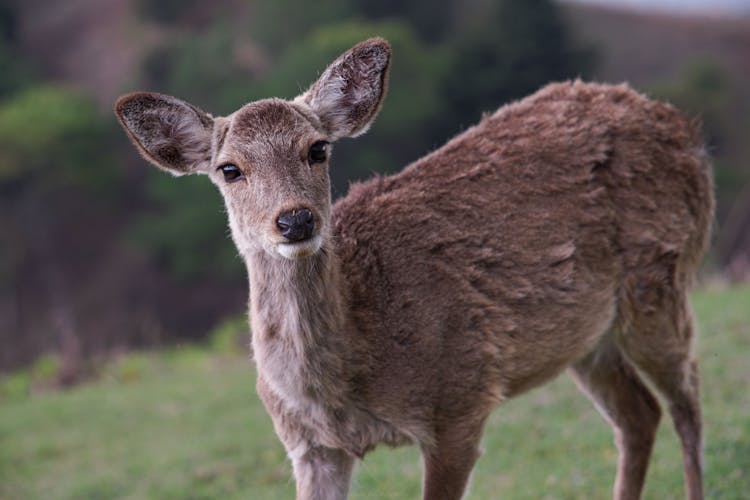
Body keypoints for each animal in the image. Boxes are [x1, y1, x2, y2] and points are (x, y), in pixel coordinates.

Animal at [116, 37, 716, 498]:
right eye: (229, 169)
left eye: (318, 149)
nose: (295, 220)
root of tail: (681, 124)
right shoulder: (307, 446)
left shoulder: (461, 400)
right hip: (585, 338)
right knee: (640, 414)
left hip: (661, 276)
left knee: (687, 394)